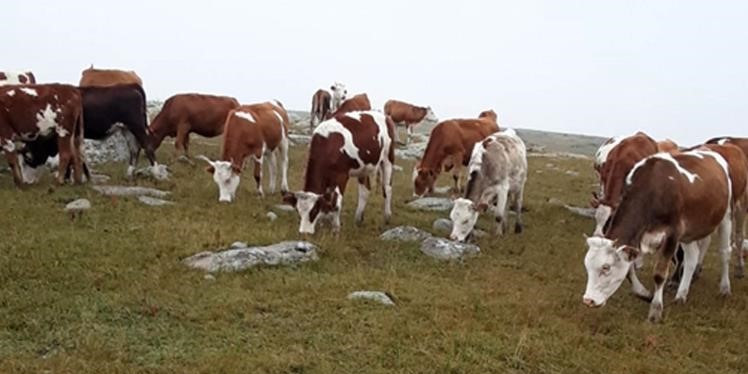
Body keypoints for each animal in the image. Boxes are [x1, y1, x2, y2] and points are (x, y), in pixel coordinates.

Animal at [580, 148, 732, 322]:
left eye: (606, 267)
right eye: (587, 266)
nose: (588, 300)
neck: (653, 190)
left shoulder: (672, 235)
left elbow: (659, 274)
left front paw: (656, 309)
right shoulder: (637, 239)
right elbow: (629, 271)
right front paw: (644, 293)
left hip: (726, 216)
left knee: (724, 253)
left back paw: (725, 288)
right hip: (688, 233)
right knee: (692, 258)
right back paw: (681, 294)